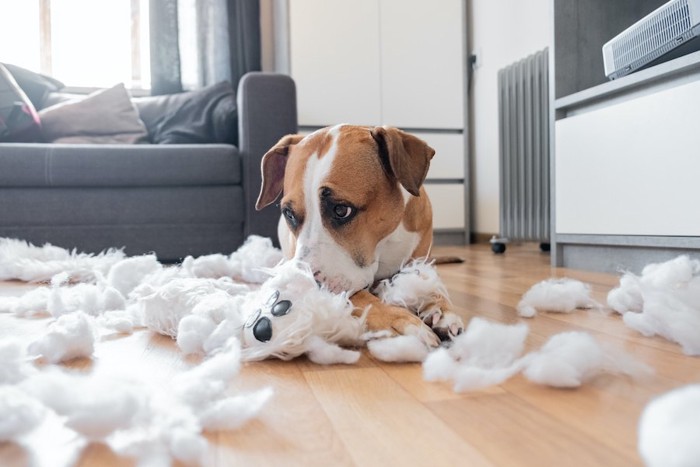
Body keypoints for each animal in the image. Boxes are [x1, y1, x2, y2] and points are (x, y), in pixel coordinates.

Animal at [258, 124, 464, 348]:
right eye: (289, 214)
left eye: (341, 210)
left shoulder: (420, 261)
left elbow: (430, 283)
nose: (303, 286)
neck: (384, 244)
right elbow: (362, 298)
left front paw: (442, 310)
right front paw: (400, 320)